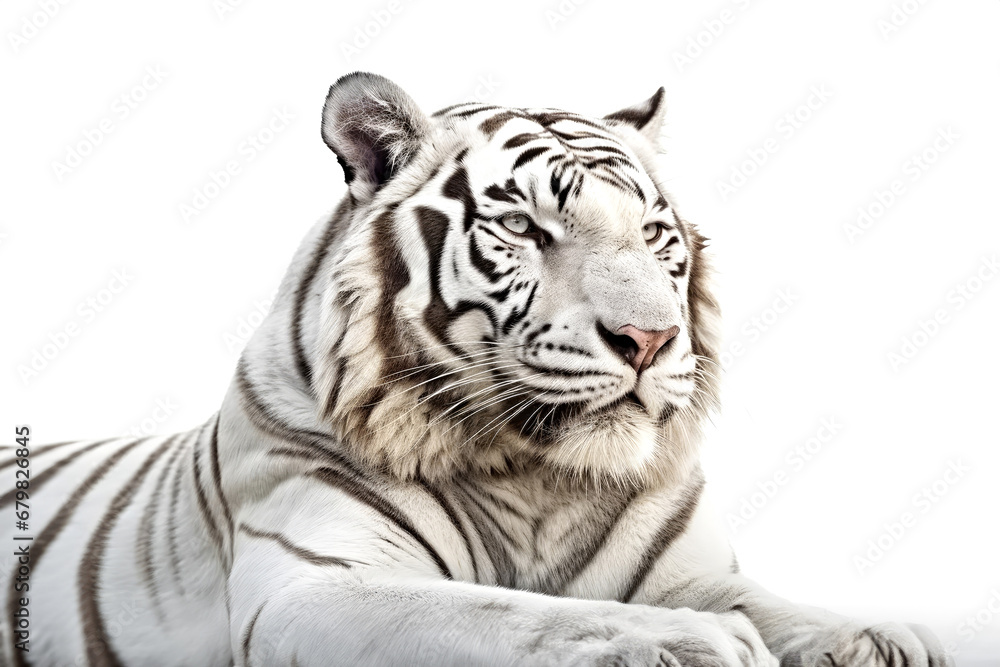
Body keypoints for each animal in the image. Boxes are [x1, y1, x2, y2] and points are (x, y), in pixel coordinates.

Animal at [1, 72, 953, 667]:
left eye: (654, 235)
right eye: (525, 228)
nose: (648, 339)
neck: (537, 475)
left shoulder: (687, 569)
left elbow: (774, 602)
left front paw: (880, 635)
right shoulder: (315, 585)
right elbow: (523, 613)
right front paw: (692, 641)